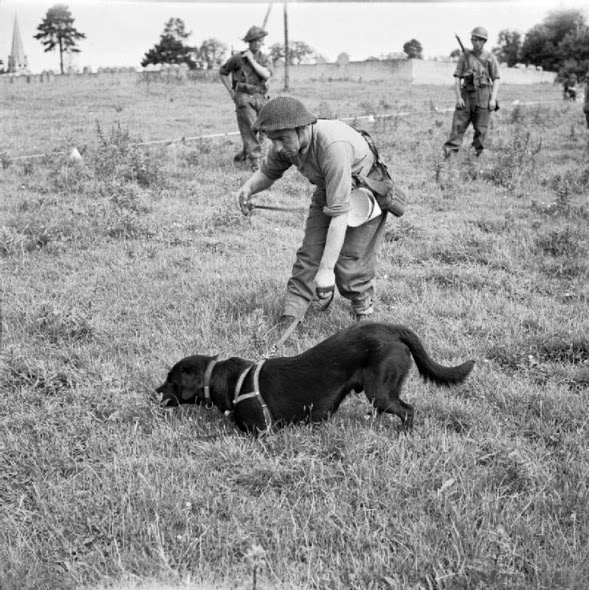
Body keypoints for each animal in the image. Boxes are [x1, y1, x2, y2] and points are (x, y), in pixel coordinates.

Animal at [156, 324, 474, 434]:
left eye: (170, 379)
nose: (154, 391)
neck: (232, 381)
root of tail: (392, 328)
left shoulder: (261, 433)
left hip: (380, 392)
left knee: (408, 410)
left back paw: (404, 434)